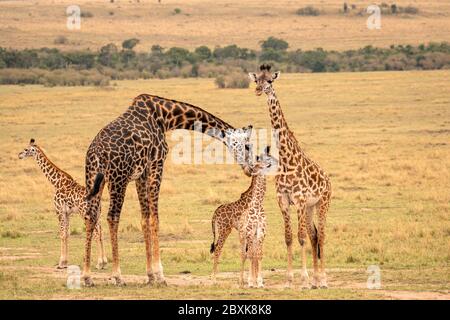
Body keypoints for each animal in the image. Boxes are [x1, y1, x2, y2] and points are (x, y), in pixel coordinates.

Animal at [18, 139, 107, 268]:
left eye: (26, 149)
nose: (19, 155)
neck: (56, 182)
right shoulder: (67, 212)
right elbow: (67, 234)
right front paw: (65, 262)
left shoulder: (59, 210)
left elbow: (62, 234)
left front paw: (61, 262)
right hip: (98, 215)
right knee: (101, 233)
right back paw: (104, 261)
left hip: (86, 214)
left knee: (95, 233)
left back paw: (99, 263)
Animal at [82, 94, 253, 286]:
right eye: (247, 146)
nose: (250, 169)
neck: (166, 117)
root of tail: (97, 154)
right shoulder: (157, 164)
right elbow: (155, 219)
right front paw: (160, 274)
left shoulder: (142, 173)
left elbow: (145, 218)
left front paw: (150, 275)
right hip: (118, 179)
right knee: (112, 217)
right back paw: (117, 276)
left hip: (94, 179)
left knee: (91, 216)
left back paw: (87, 276)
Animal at [210, 147, 276, 288]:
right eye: (265, 159)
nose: (271, 164)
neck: (257, 204)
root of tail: (215, 214)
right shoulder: (250, 232)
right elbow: (251, 254)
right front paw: (252, 281)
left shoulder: (260, 232)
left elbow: (258, 254)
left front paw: (259, 281)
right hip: (227, 231)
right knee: (223, 250)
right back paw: (216, 279)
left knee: (246, 253)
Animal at [248, 63, 332, 288]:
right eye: (256, 80)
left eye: (270, 81)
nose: (258, 90)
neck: (286, 158)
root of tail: (328, 180)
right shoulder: (284, 201)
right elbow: (289, 237)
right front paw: (289, 280)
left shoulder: (300, 200)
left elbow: (300, 237)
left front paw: (302, 280)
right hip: (311, 207)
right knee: (314, 235)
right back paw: (316, 279)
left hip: (322, 203)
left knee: (321, 236)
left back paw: (322, 280)